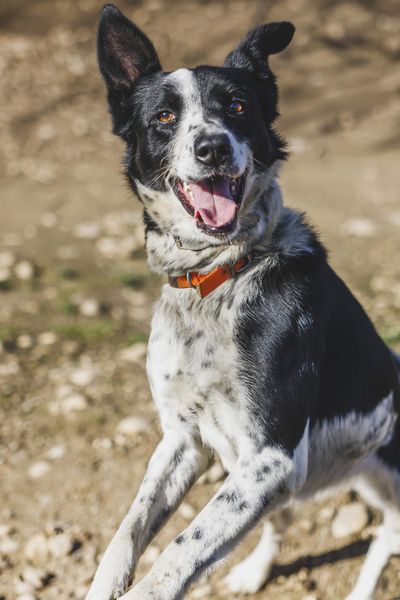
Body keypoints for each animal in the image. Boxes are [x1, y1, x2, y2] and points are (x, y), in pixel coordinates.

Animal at [87, 5, 400, 600]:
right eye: (165, 117)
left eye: (236, 107)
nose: (211, 147)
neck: (218, 277)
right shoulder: (184, 439)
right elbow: (129, 528)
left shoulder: (270, 456)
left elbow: (177, 553)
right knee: (285, 517)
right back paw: (255, 571)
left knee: (385, 537)